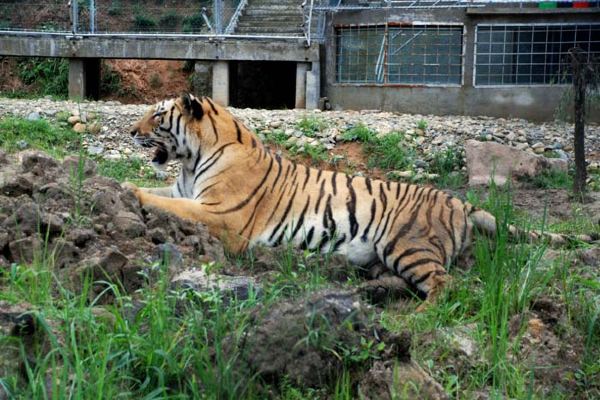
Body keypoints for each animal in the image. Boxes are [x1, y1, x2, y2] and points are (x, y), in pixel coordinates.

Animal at [123, 94, 600, 310]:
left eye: (157, 116)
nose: (130, 131)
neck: (192, 159)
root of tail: (458, 201)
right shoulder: (186, 192)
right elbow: (157, 191)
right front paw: (119, 183)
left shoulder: (221, 216)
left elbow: (166, 204)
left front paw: (131, 194)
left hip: (406, 244)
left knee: (446, 285)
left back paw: (418, 315)